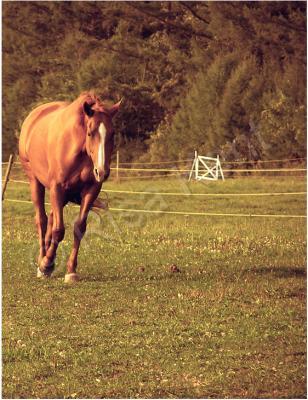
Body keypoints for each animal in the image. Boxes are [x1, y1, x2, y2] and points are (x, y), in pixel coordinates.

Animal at [18, 92, 121, 282]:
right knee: (42, 220)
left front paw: (71, 270)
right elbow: (59, 230)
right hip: (35, 182)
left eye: (112, 134)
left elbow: (79, 228)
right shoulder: (57, 188)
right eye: (90, 133)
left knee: (51, 218)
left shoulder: (91, 190)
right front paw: (46, 264)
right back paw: (42, 263)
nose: (102, 171)